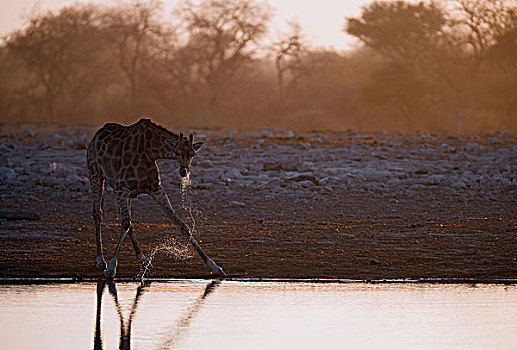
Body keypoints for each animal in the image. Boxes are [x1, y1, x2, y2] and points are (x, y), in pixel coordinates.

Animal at [85, 119, 225, 278]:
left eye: (193, 154)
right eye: (176, 152)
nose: (183, 172)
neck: (150, 152)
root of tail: (96, 135)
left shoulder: (155, 189)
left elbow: (183, 226)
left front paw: (215, 267)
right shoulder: (121, 188)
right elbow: (125, 223)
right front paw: (111, 267)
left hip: (121, 191)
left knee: (126, 219)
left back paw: (143, 259)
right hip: (95, 173)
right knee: (98, 213)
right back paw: (100, 260)